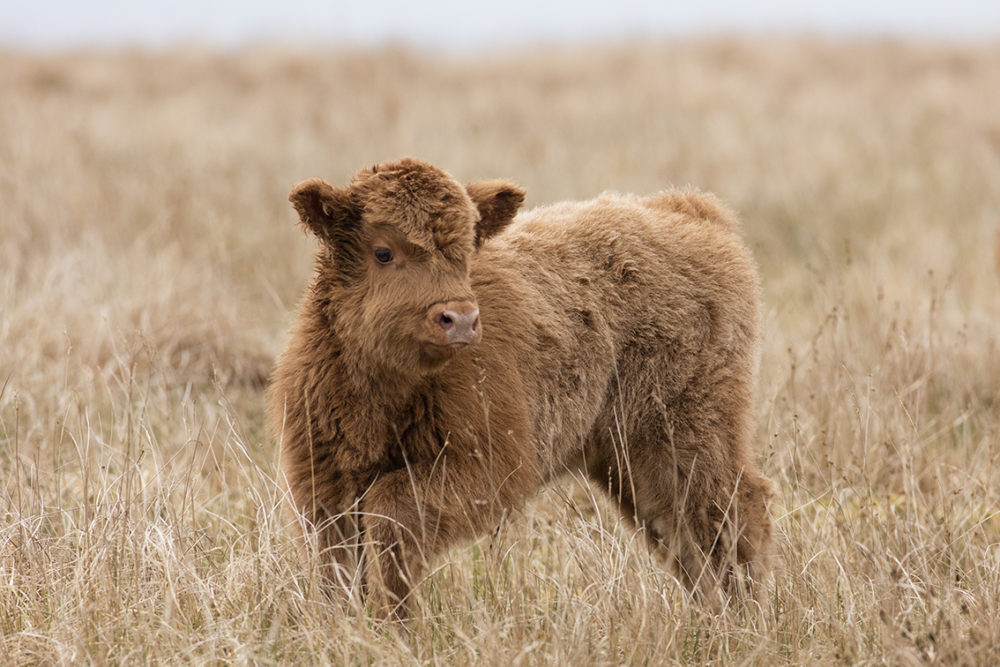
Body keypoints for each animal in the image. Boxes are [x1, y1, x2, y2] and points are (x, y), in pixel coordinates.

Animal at [266, 158, 772, 616]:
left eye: (466, 252)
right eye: (383, 251)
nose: (460, 319)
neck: (383, 396)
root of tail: (688, 212)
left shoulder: (490, 465)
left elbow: (390, 516)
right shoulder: (321, 483)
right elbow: (338, 566)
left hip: (682, 434)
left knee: (731, 510)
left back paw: (748, 621)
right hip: (628, 459)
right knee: (681, 534)